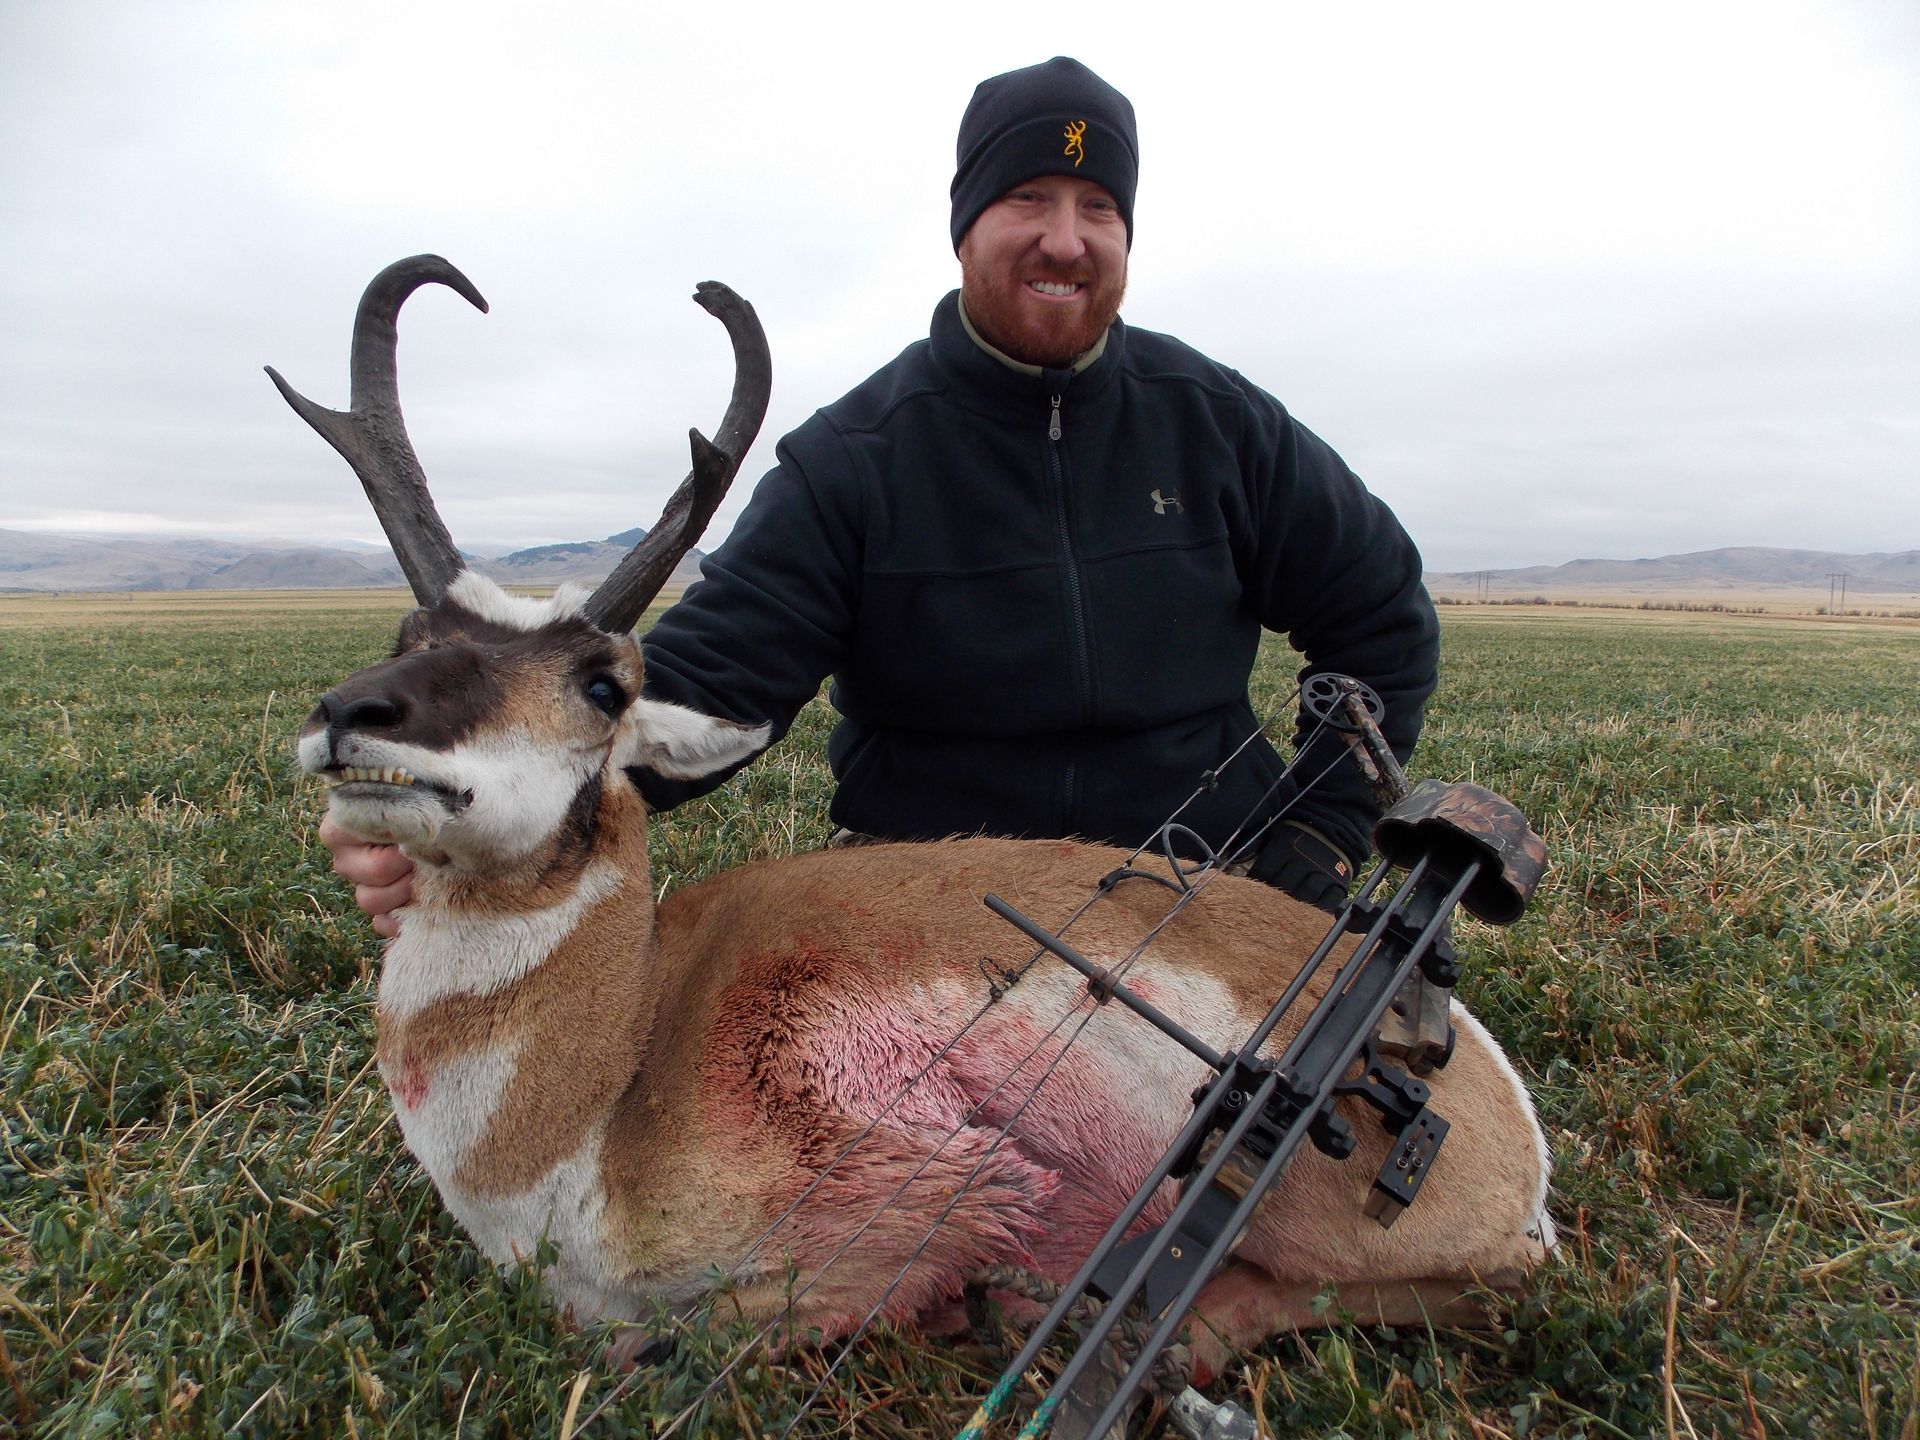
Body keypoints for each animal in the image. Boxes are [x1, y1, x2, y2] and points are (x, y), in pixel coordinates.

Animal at [281, 257, 1555, 1405]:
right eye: (408, 633)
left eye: (604, 683)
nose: (350, 715)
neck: (621, 1063)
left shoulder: (910, 1210)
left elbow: (672, 1342)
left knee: (1484, 1292)